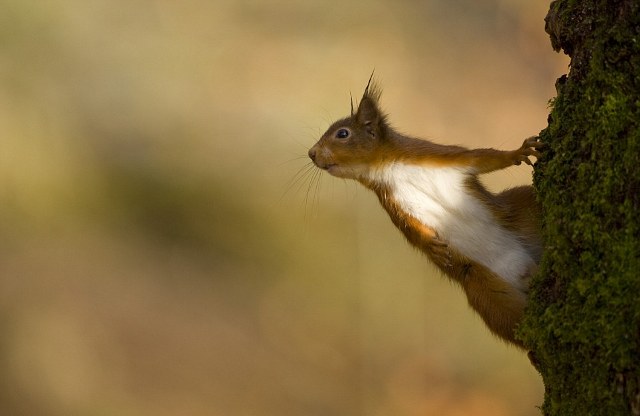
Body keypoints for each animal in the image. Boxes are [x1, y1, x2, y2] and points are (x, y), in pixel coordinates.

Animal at [308, 79, 544, 348]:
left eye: (343, 134)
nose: (311, 153)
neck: (390, 169)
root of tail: (525, 272)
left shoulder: (440, 155)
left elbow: (482, 157)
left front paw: (518, 152)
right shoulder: (395, 203)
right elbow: (412, 231)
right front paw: (432, 246)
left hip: (524, 211)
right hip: (486, 295)